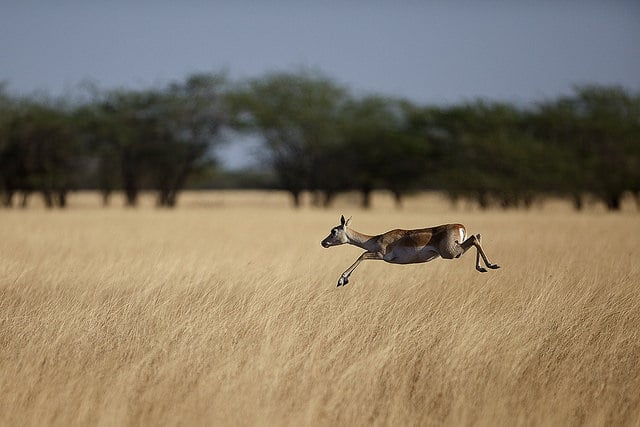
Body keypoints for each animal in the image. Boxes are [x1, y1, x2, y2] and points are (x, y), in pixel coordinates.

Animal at [320, 217, 500, 288]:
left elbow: (362, 255)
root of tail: (460, 226)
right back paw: (483, 267)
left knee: (475, 238)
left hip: (451, 253)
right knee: (478, 235)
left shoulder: (381, 255)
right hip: (456, 250)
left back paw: (491, 265)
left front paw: (342, 280)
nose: (323, 242)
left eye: (334, 231)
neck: (377, 238)